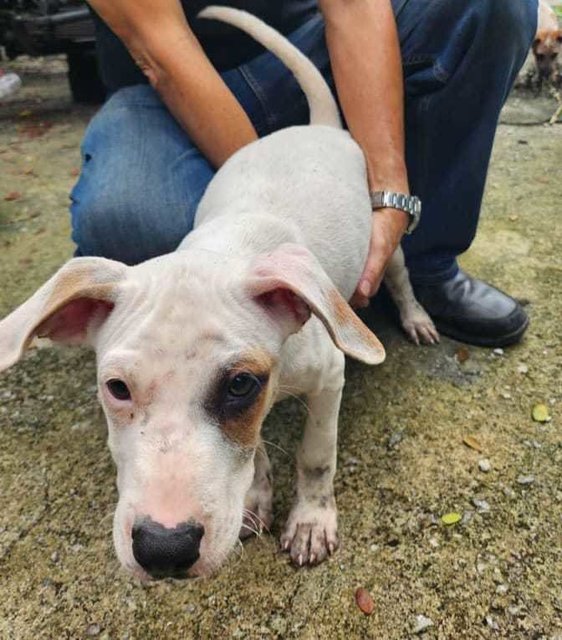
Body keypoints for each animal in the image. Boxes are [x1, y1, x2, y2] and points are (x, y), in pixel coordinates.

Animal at [0, 6, 434, 580]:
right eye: (116, 388)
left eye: (240, 385)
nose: (163, 550)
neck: (228, 245)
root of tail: (315, 125)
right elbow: (257, 451)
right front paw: (253, 500)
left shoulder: (328, 377)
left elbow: (315, 455)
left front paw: (311, 521)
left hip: (386, 240)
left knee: (401, 275)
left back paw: (417, 316)